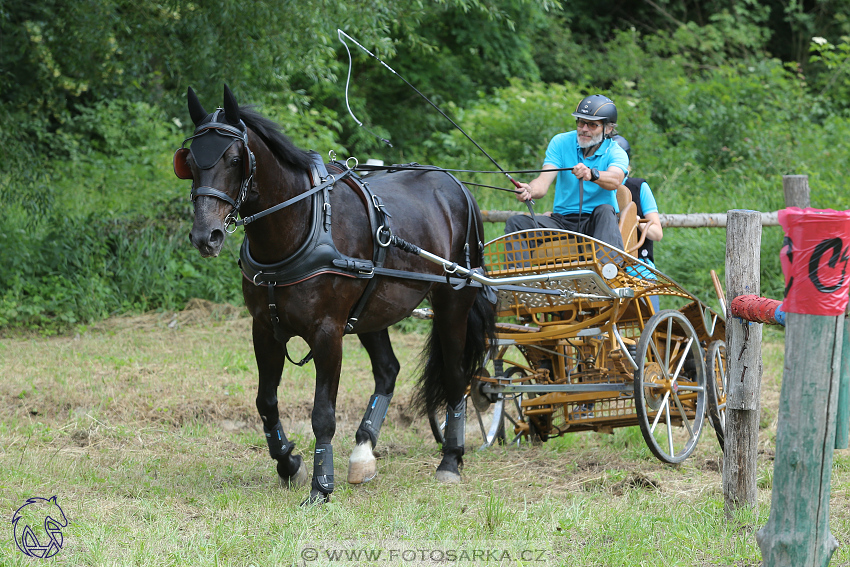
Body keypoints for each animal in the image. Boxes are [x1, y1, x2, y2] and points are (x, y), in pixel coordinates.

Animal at [176, 85, 494, 506]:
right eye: (190, 161)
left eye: (233, 159)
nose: (205, 236)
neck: (297, 223)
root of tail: (457, 187)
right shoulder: (264, 329)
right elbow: (266, 401)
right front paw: (288, 462)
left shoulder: (327, 334)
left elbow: (323, 414)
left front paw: (320, 486)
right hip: (374, 309)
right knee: (388, 370)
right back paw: (363, 452)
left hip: (452, 302)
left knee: (458, 375)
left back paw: (451, 460)